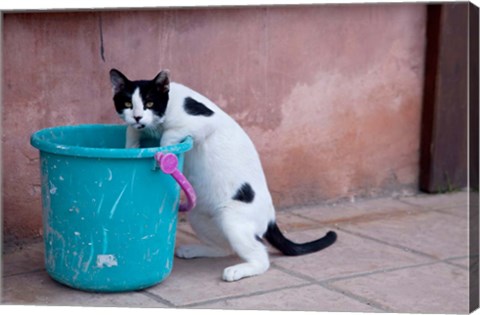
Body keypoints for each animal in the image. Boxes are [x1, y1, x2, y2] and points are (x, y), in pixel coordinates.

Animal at [109, 68, 338, 282]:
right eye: (128, 103)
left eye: (149, 103)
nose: (138, 116)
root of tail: (271, 216)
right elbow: (131, 132)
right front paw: (132, 144)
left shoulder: (203, 122)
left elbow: (168, 135)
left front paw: (164, 152)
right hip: (199, 215)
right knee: (225, 248)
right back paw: (195, 250)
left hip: (231, 218)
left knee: (261, 257)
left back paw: (237, 270)